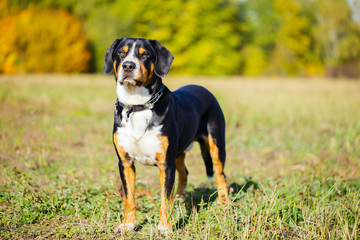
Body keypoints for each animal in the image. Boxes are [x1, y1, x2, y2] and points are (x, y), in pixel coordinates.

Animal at [102, 37, 229, 232]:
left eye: (145, 54)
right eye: (121, 53)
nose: (128, 66)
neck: (138, 106)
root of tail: (204, 89)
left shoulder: (166, 164)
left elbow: (164, 198)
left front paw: (164, 228)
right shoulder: (125, 162)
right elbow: (129, 198)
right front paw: (128, 225)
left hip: (215, 144)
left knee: (220, 174)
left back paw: (225, 203)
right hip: (179, 152)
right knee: (184, 172)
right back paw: (180, 198)